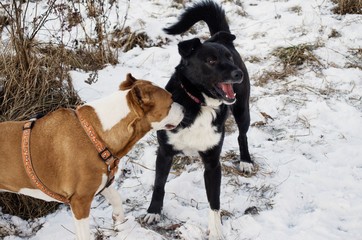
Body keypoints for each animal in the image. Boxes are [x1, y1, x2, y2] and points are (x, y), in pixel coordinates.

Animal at [0, 73, 184, 240]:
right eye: (170, 102)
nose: (185, 109)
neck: (96, 134)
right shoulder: (80, 201)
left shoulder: (102, 182)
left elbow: (116, 199)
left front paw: (119, 221)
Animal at [144, 1, 252, 238]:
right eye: (211, 60)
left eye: (228, 58)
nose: (237, 74)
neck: (200, 104)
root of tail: (219, 37)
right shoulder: (164, 151)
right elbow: (158, 184)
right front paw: (153, 212)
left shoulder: (212, 162)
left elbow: (214, 201)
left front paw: (216, 231)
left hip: (242, 109)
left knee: (242, 135)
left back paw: (246, 161)